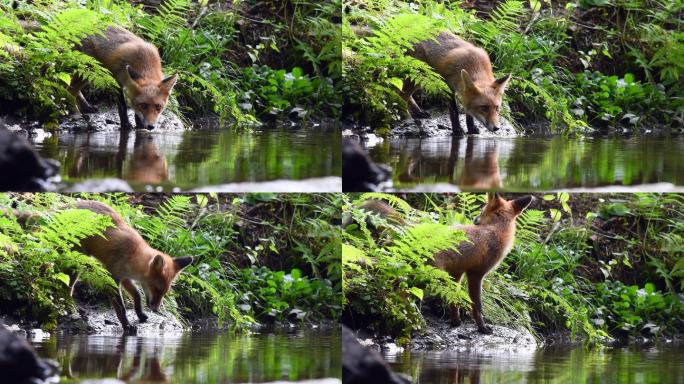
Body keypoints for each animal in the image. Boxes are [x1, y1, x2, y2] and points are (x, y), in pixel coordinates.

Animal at [358, 194, 536, 334]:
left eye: (481, 211)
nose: (475, 219)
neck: (495, 230)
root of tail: (416, 228)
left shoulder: (456, 273)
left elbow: (454, 301)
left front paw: (455, 322)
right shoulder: (475, 274)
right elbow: (476, 306)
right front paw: (482, 328)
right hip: (426, 277)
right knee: (398, 292)